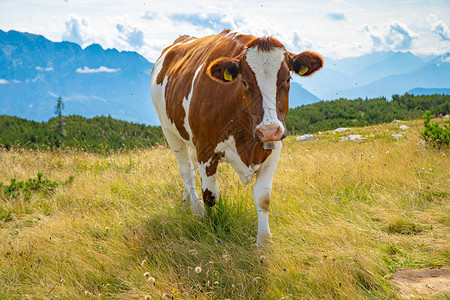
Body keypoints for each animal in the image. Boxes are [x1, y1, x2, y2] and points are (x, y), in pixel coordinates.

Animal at [151, 29, 324, 246]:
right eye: (244, 82)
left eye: (287, 80)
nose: (268, 130)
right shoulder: (206, 151)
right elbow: (211, 196)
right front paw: (211, 228)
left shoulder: (274, 150)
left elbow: (263, 198)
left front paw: (263, 241)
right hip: (170, 132)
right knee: (186, 171)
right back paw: (195, 208)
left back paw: (186, 201)